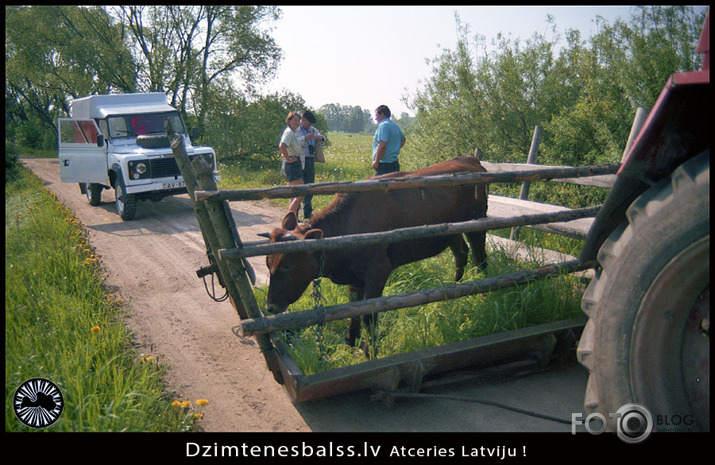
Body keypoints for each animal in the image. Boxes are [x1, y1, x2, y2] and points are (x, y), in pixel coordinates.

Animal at [266, 157, 490, 348]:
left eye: (287, 265)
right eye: (268, 263)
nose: (270, 307)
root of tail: (469, 159)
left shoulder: (378, 270)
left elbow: (369, 314)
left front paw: (369, 351)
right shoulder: (354, 277)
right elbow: (354, 309)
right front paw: (350, 342)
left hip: (477, 225)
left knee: (480, 260)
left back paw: (483, 298)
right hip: (452, 232)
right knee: (460, 254)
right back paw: (455, 290)